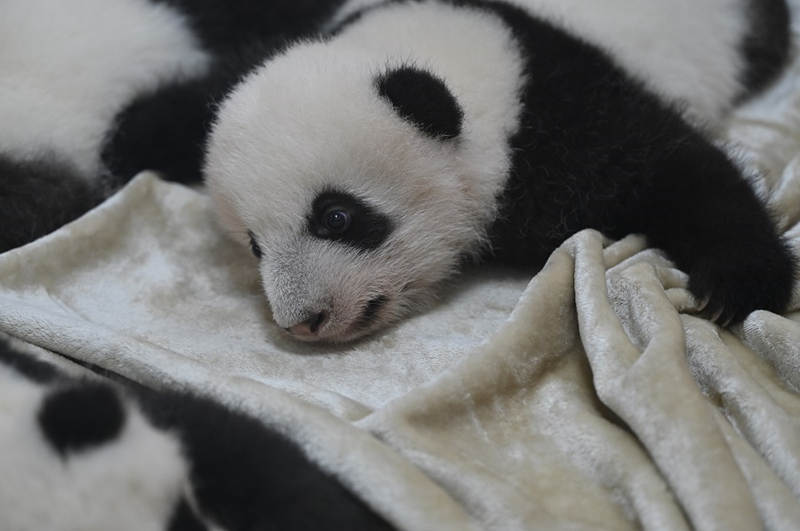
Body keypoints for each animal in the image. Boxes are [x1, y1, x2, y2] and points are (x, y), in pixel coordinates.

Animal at [203, 0, 796, 343]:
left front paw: (737, 282)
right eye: (254, 245)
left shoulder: (560, 110)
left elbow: (675, 166)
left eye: (336, 217)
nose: (303, 321)